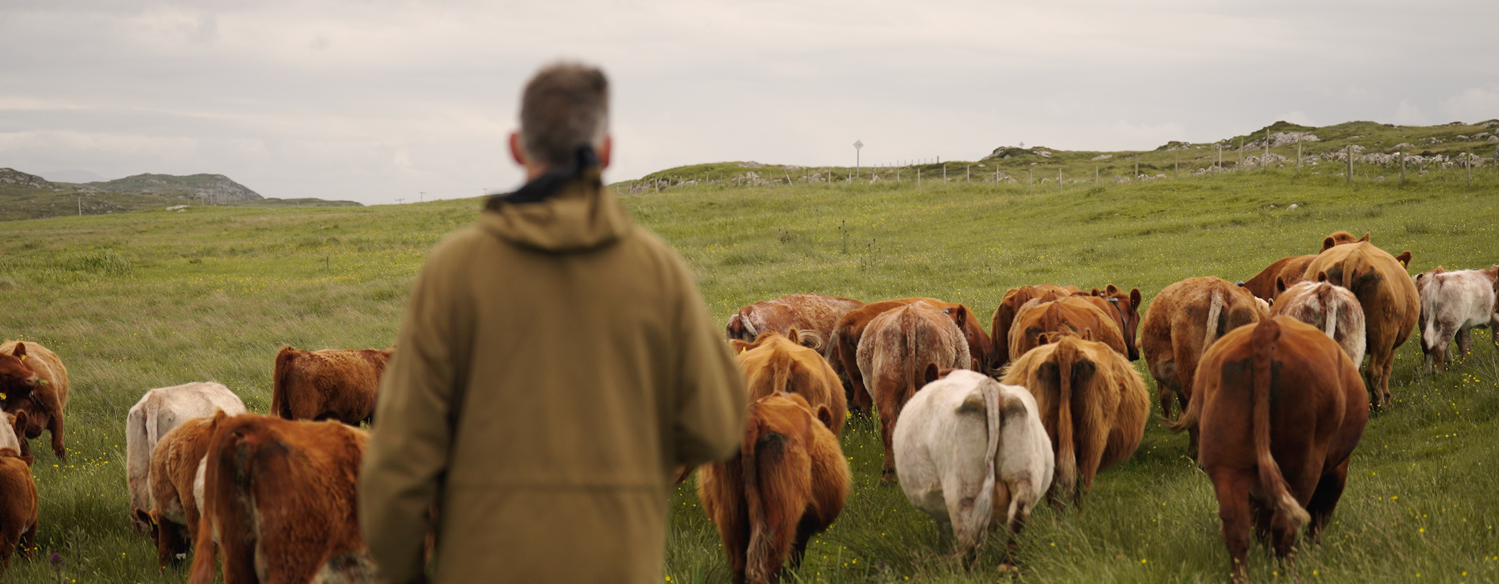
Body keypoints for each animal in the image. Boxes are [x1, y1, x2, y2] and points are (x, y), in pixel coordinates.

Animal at [697, 392, 850, 584]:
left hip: (730, 515)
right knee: (770, 565)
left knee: (739, 566)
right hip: (780, 515)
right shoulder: (803, 526)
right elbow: (796, 557)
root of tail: (753, 418)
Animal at [893, 370, 1052, 568]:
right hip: (1023, 477)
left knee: (969, 537)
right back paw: (1007, 566)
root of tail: (990, 385)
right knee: (1015, 519)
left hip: (962, 489)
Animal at [1169, 317, 1368, 583]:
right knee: (1285, 526)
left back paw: (1244, 577)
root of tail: (1266, 330)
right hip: (1302, 467)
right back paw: (1290, 575)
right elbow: (1318, 514)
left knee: (1237, 530)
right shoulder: (1337, 468)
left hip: (1226, 467)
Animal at [1304, 241, 1419, 407]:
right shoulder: (1392, 344)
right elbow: (1387, 369)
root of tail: (1354, 256)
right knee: (1374, 371)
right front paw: (1387, 397)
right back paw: (1379, 403)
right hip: (1383, 334)